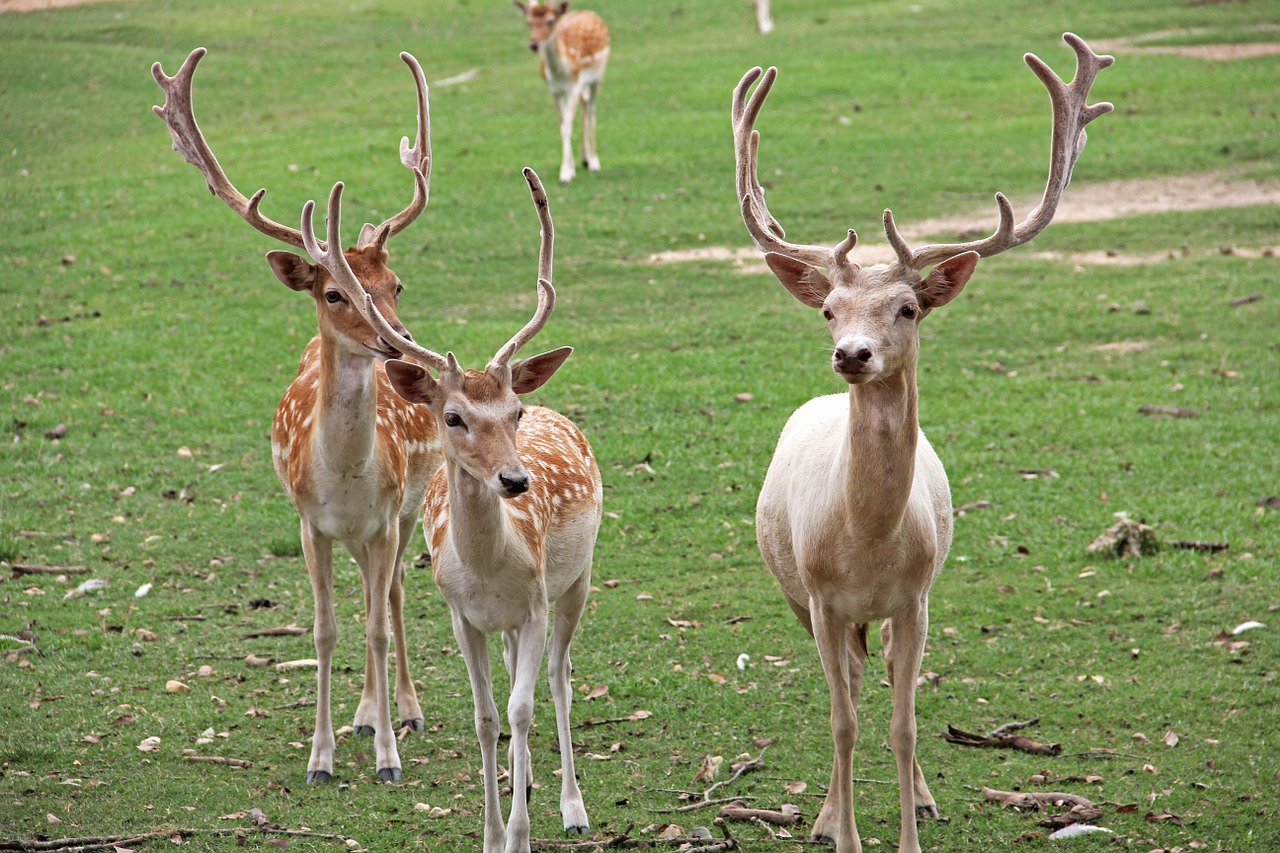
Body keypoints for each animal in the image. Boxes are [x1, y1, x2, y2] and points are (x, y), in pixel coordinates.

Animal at [151, 46, 445, 778]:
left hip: (411, 507)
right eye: (335, 292)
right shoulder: (311, 524)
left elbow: (376, 623)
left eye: (395, 284)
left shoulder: (384, 519)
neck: (344, 482)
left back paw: (402, 709)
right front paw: (322, 755)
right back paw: (363, 715)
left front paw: (388, 754)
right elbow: (325, 628)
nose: (400, 342)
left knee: (392, 597)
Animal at [512, 2, 606, 183]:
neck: (561, 72)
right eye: (528, 22)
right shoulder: (555, 89)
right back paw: (584, 159)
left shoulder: (575, 86)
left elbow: (567, 126)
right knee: (586, 104)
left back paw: (594, 161)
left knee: (592, 111)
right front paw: (570, 169)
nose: (534, 44)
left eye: (550, 21)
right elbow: (562, 123)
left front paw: (565, 174)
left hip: (597, 78)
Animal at [732, 33, 1111, 850]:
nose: (852, 353)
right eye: (829, 309)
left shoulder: (916, 598)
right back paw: (824, 812)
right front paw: (842, 831)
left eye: (908, 307)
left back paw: (922, 795)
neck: (868, 541)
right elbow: (843, 721)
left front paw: (909, 828)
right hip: (794, 593)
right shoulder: (820, 598)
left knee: (880, 685)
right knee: (845, 688)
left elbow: (904, 724)